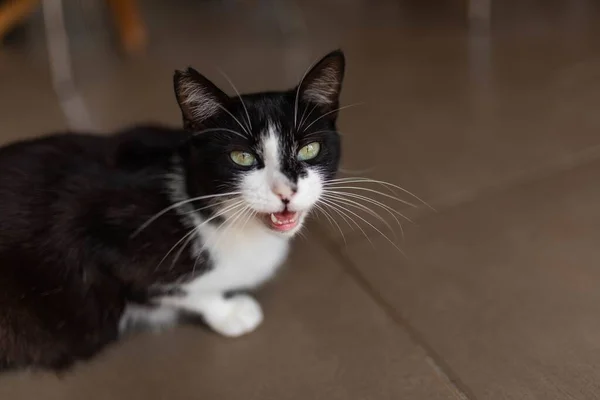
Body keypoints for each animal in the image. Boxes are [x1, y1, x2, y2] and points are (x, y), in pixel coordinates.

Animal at [0, 50, 344, 372]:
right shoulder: (112, 243)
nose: (286, 191)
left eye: (309, 149)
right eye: (242, 157)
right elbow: (177, 290)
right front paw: (230, 313)